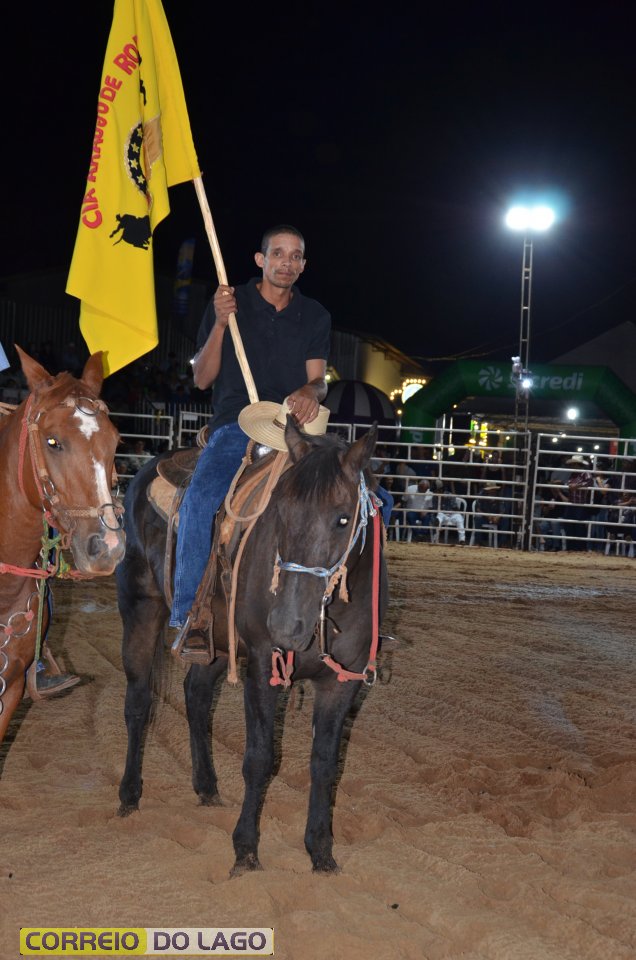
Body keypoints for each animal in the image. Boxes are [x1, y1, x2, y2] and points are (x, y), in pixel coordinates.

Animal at [117, 417, 388, 873]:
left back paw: (207, 786)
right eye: (280, 511)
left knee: (195, 696)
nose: (287, 625)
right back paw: (129, 796)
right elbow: (259, 758)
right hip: (140, 607)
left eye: (342, 518)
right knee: (138, 703)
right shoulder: (262, 666)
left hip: (214, 641)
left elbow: (325, 764)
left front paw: (321, 850)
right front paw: (245, 849)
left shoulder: (342, 681)